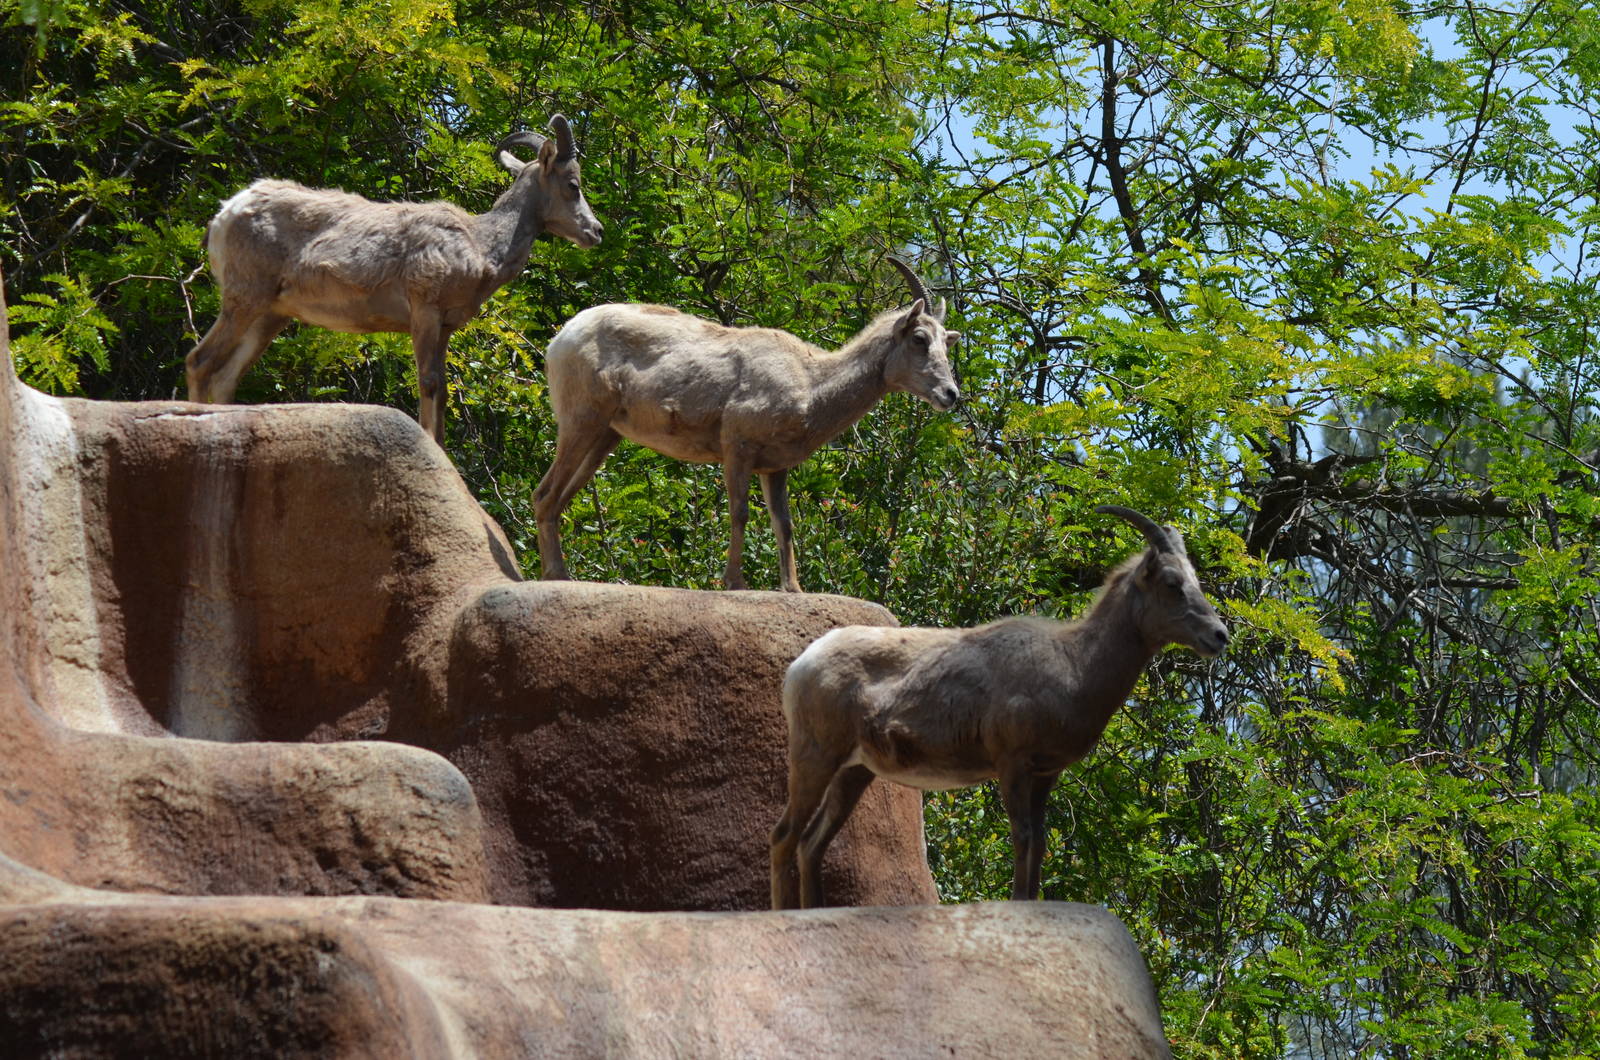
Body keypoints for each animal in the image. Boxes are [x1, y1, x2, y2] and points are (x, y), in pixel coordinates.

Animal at [185, 114, 603, 445]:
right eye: (573, 185)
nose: (595, 232)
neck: (480, 246)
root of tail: (225, 214)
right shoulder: (425, 312)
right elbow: (428, 383)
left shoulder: (445, 326)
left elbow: (441, 389)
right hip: (245, 299)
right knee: (200, 360)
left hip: (271, 315)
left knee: (224, 376)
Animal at [532, 257, 962, 592]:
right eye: (919, 338)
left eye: (947, 342)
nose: (950, 394)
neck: (810, 383)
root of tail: (560, 340)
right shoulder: (737, 445)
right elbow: (740, 511)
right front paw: (735, 582)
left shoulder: (775, 467)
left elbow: (783, 523)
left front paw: (793, 588)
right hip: (581, 420)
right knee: (544, 493)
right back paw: (558, 576)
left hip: (605, 435)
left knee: (559, 497)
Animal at [769, 504, 1231, 909]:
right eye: (1171, 583)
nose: (1219, 635)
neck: (1074, 666)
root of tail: (801, 666)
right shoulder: (1012, 764)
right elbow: (1022, 837)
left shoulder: (1045, 774)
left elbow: (1038, 841)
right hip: (817, 756)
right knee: (784, 836)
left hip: (854, 770)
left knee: (811, 843)